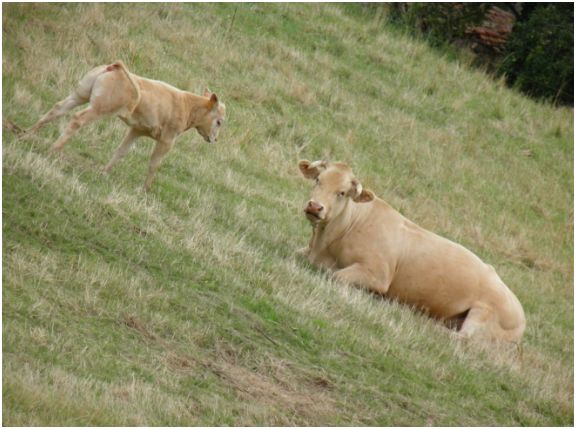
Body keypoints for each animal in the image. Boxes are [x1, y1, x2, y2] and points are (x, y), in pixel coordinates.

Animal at [300, 159, 528, 342]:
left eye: (342, 193)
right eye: (318, 180)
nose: (314, 206)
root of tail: (521, 314)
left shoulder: (377, 274)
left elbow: (336, 275)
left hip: (483, 315)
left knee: (464, 338)